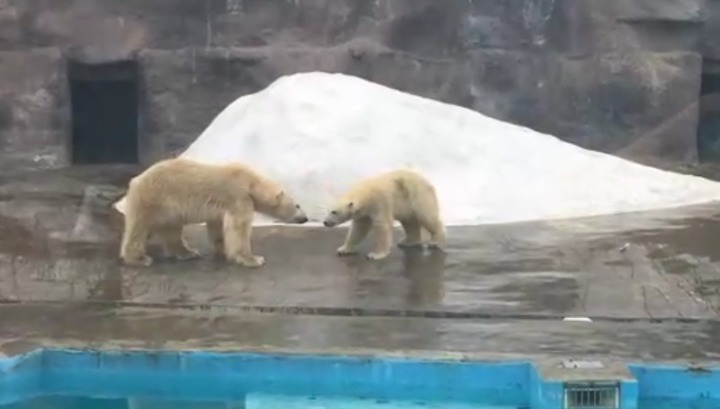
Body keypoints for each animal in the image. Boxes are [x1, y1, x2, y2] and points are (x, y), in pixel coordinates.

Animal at [119, 157, 310, 268]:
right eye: (298, 205)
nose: (305, 218)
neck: (250, 182)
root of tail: (136, 179)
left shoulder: (222, 206)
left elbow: (218, 225)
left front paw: (223, 250)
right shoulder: (238, 196)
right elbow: (239, 227)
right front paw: (253, 259)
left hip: (169, 209)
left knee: (171, 230)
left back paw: (187, 253)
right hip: (153, 199)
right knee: (138, 228)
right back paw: (139, 258)